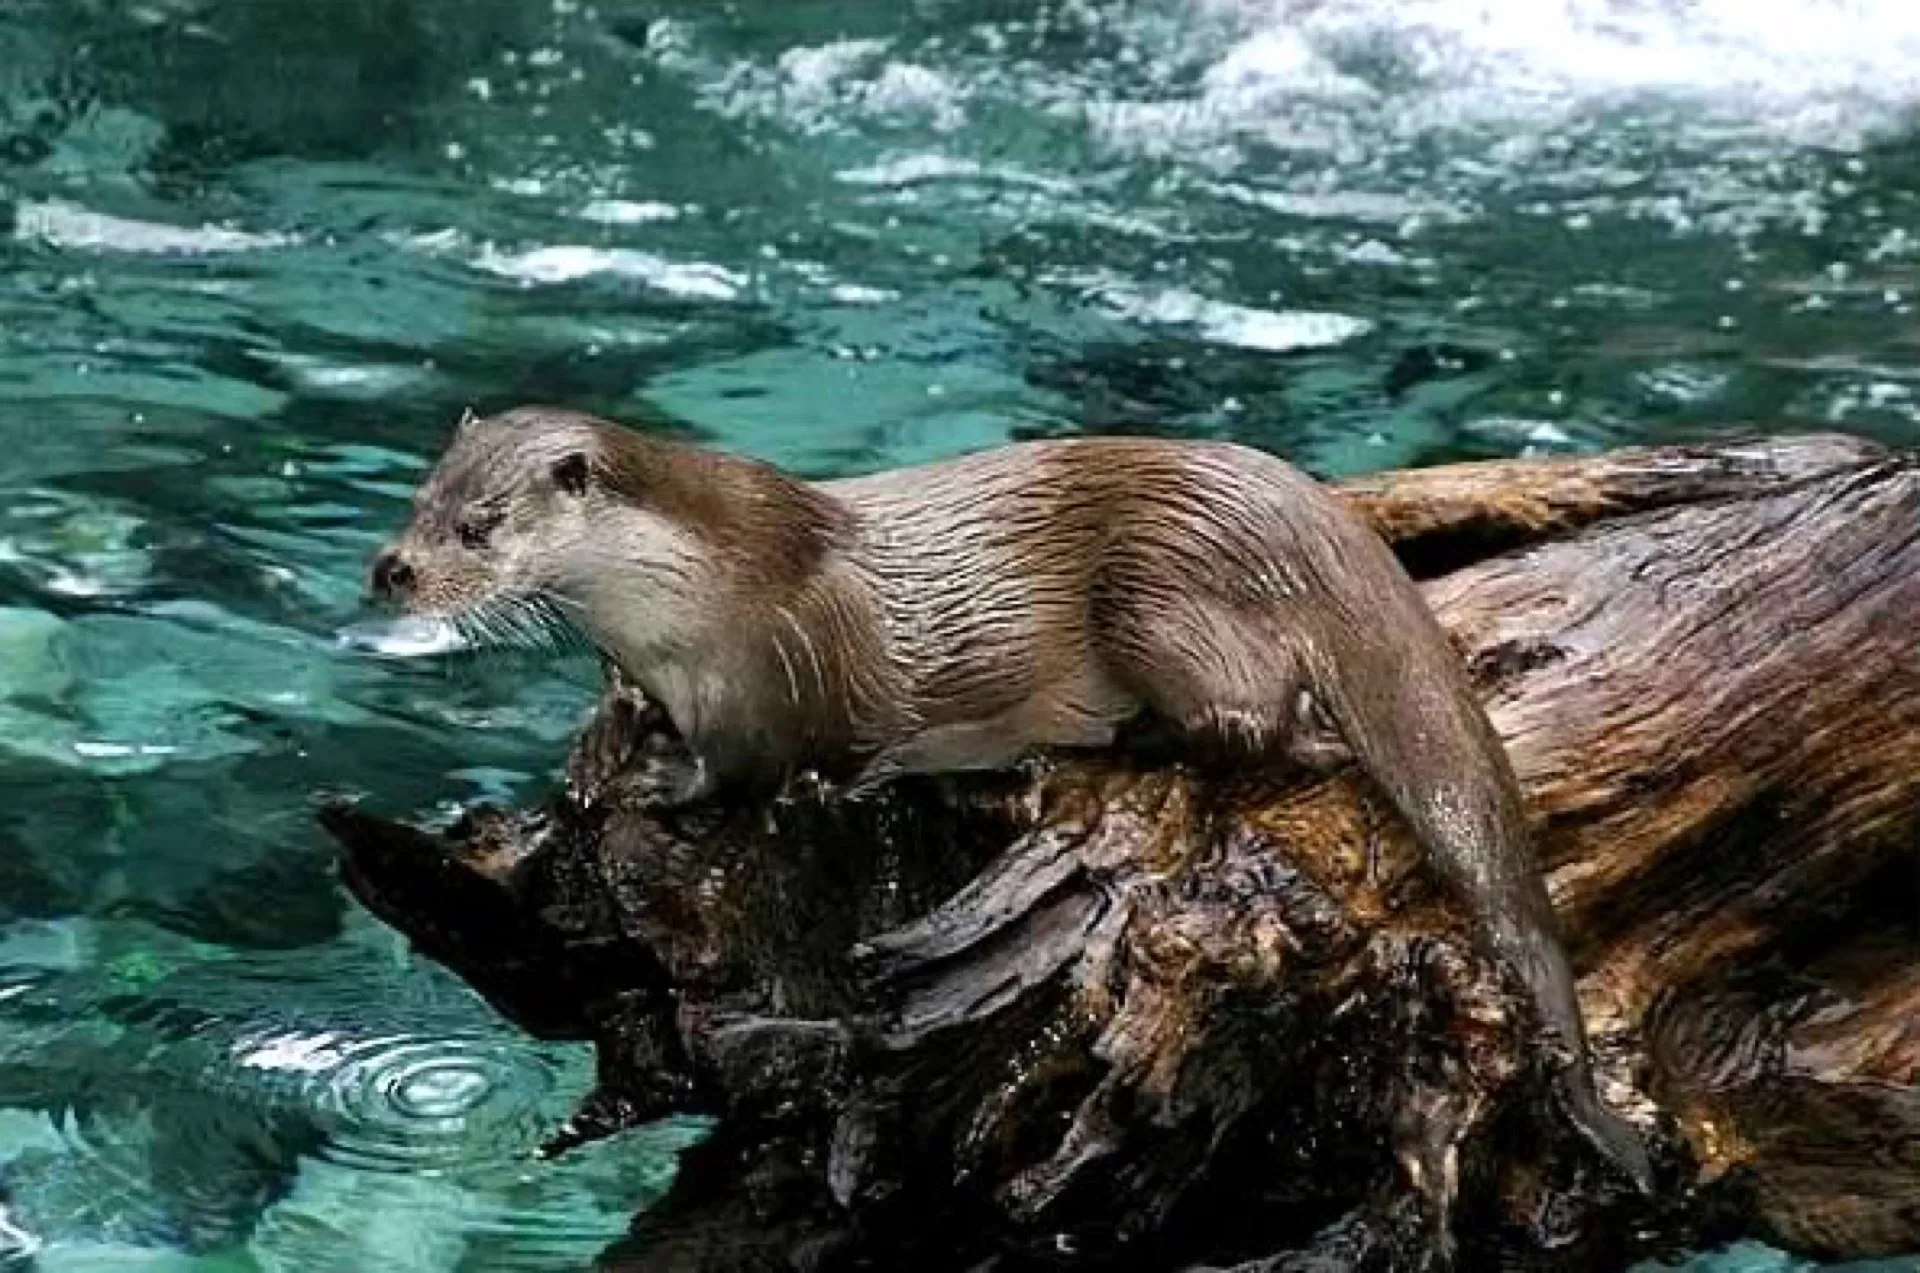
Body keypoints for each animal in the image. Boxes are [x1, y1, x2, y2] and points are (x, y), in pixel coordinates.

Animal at [368, 405, 1653, 1193]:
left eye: (477, 525)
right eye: (420, 498)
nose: (392, 568)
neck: (687, 587)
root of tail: (1308, 516)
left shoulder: (766, 673)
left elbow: (749, 769)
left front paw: (651, 773)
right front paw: (600, 743)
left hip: (1158, 597)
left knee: (1268, 727)